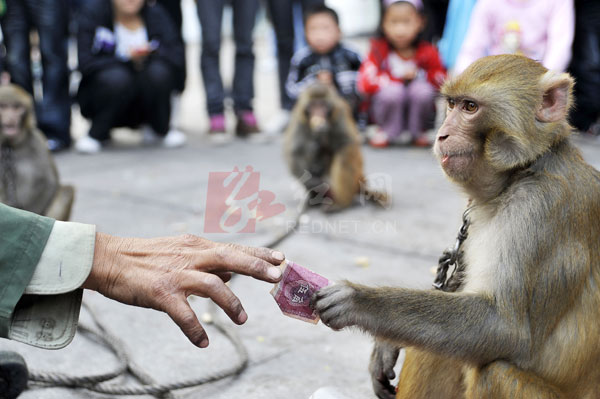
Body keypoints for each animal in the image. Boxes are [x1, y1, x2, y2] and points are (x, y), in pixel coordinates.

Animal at [0, 85, 74, 222]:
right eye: (4, 106)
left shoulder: (37, 140)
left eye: (16, 107)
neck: (10, 146)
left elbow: (49, 183)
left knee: (66, 190)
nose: (11, 117)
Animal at [282, 83, 386, 211]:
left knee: (346, 154)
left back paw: (340, 202)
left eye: (322, 105)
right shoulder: (299, 118)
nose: (318, 113)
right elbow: (296, 152)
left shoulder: (340, 112)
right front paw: (315, 184)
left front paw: (323, 130)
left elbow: (346, 143)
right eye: (313, 106)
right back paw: (315, 196)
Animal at [312, 54, 600, 399]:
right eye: (451, 104)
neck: (525, 169)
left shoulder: (539, 209)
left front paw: (360, 301)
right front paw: (384, 345)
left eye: (470, 107)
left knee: (493, 370)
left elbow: (505, 328)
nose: (442, 134)